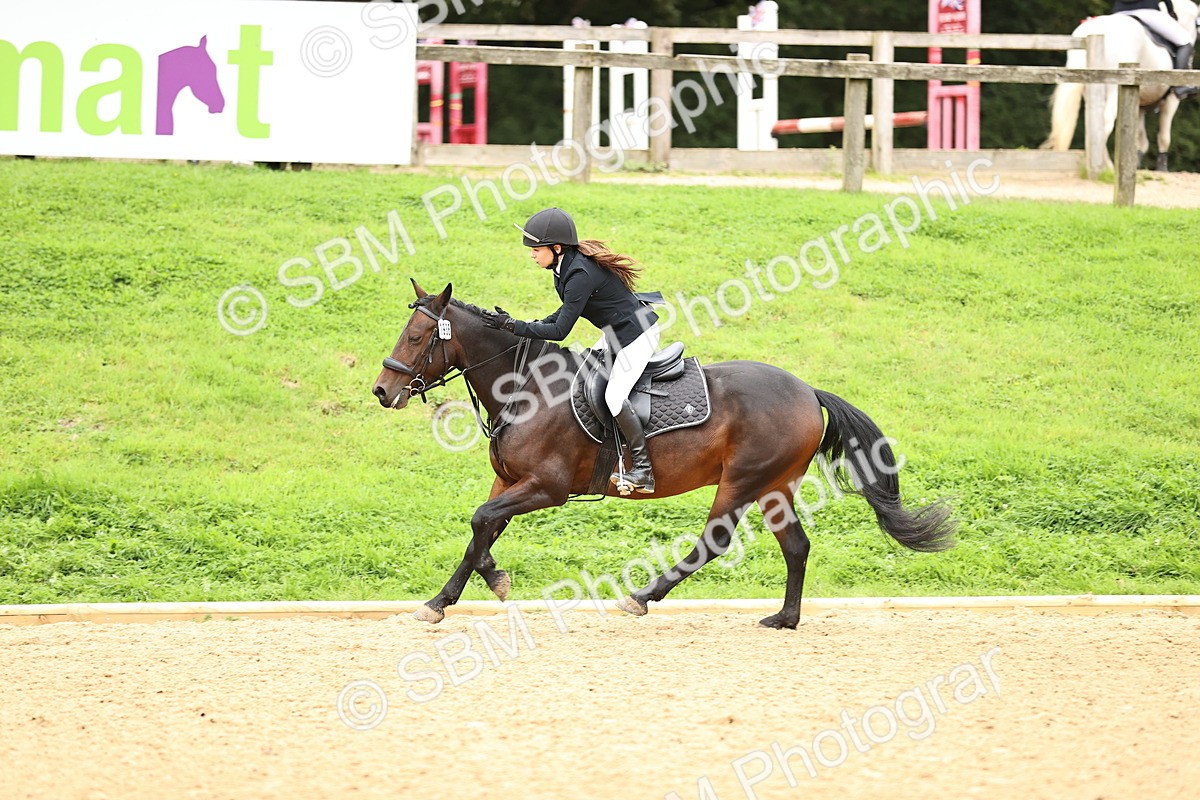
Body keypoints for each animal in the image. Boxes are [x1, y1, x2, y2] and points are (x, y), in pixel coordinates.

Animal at [372, 280, 956, 629]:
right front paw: (456, 595)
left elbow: (480, 523)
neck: (527, 387)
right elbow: (482, 532)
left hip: (741, 481)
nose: (382, 391)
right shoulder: (509, 482)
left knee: (713, 543)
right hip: (774, 486)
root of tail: (808, 391)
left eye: (418, 336)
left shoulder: (547, 488)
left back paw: (641, 597)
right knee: (796, 546)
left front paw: (472, 590)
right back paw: (785, 618)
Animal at [1042, 0, 1199, 172]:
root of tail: (1092, 31)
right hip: (1113, 90)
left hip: (1092, 91)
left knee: (1094, 126)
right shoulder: (1171, 99)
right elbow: (1164, 137)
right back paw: (1103, 166)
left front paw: (1134, 164)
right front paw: (1161, 169)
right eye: (1197, 26)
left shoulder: (1139, 105)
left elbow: (1140, 141)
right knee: (1105, 123)